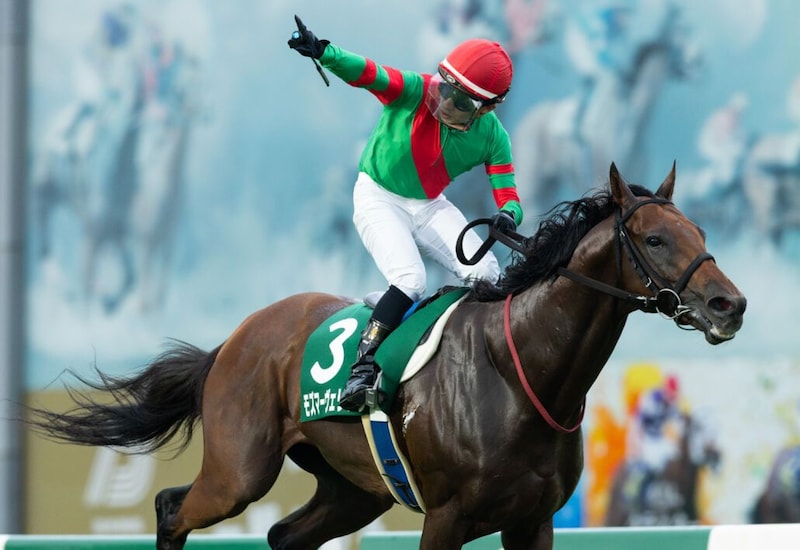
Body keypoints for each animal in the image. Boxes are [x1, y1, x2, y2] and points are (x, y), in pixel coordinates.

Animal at [26, 163, 745, 550]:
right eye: (655, 239)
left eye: (701, 231)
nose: (728, 304)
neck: (521, 375)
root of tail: (231, 342)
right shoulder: (448, 517)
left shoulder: (533, 521)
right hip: (239, 471)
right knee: (174, 508)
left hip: (352, 487)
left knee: (284, 535)